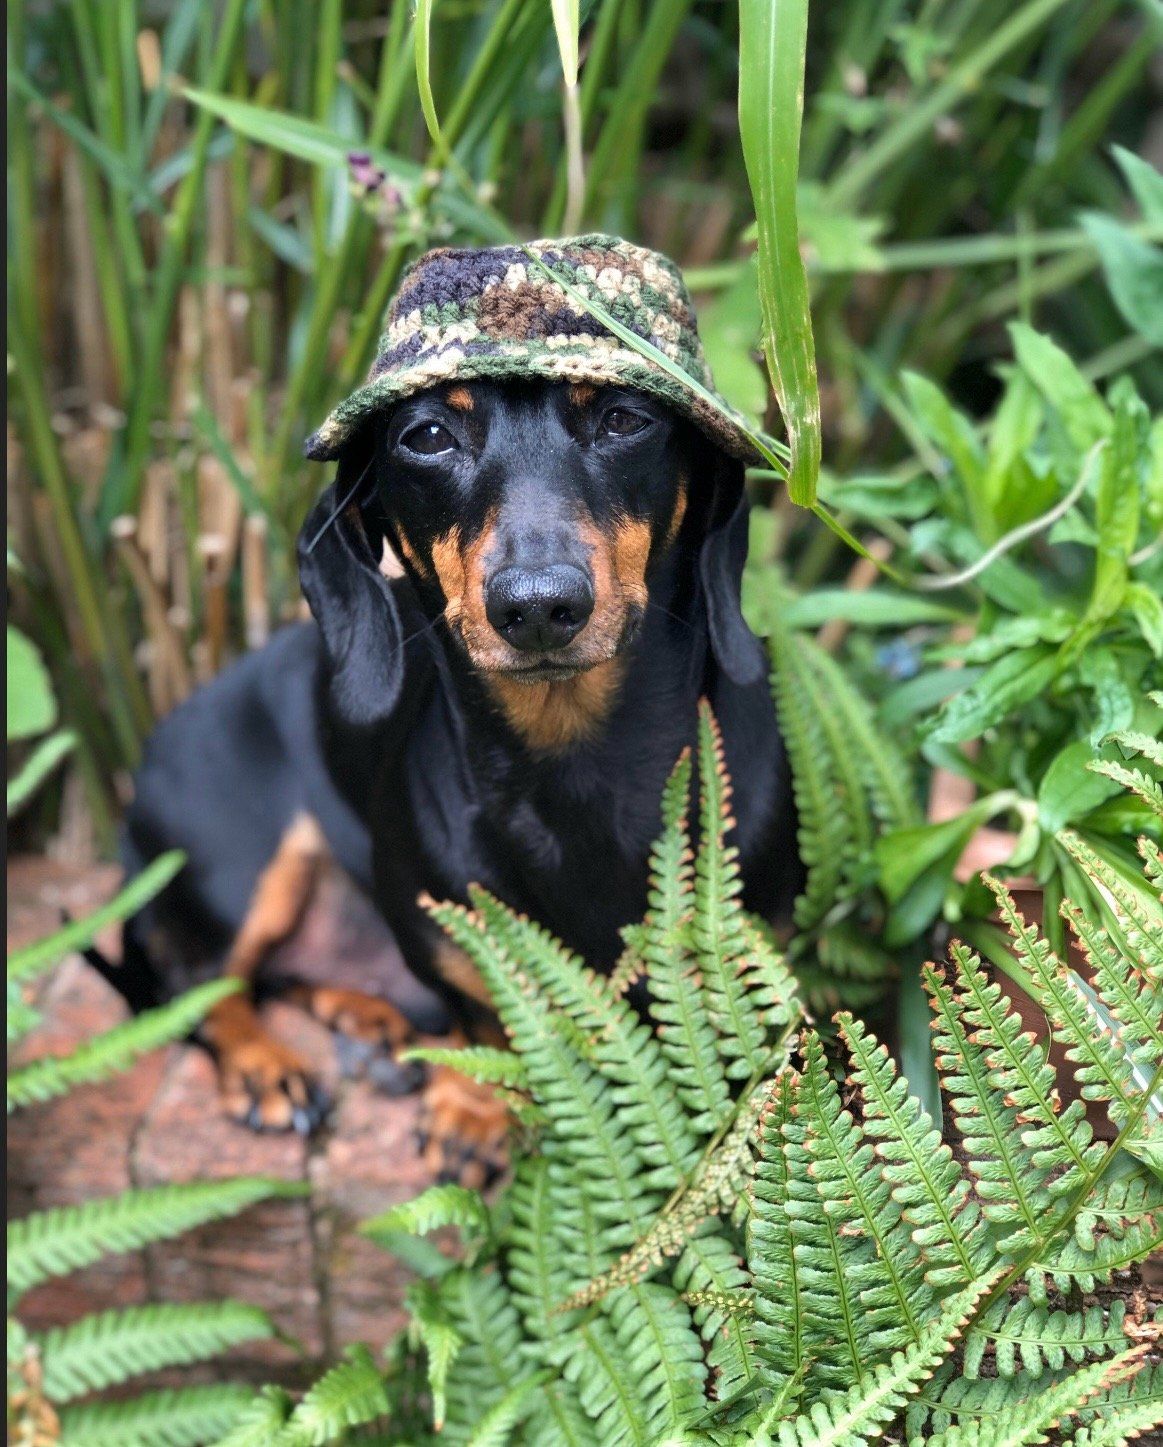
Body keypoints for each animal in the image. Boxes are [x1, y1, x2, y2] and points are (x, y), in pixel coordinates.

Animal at [109, 373, 792, 1163]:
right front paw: (474, 1107)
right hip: (233, 870)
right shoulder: (441, 931)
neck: (574, 765)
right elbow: (483, 1005)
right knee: (196, 988)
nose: (537, 606)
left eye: (625, 419)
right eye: (427, 436)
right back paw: (265, 1066)